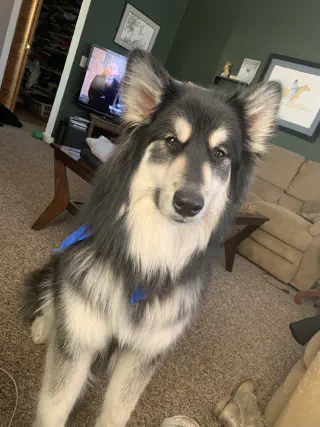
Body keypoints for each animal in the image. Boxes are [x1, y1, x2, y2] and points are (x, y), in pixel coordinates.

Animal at [23, 51, 282, 427]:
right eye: (172, 141)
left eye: (220, 153)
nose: (189, 204)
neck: (151, 254)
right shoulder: (80, 339)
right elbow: (53, 409)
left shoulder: (143, 354)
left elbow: (116, 412)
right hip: (62, 267)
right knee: (51, 293)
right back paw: (45, 325)